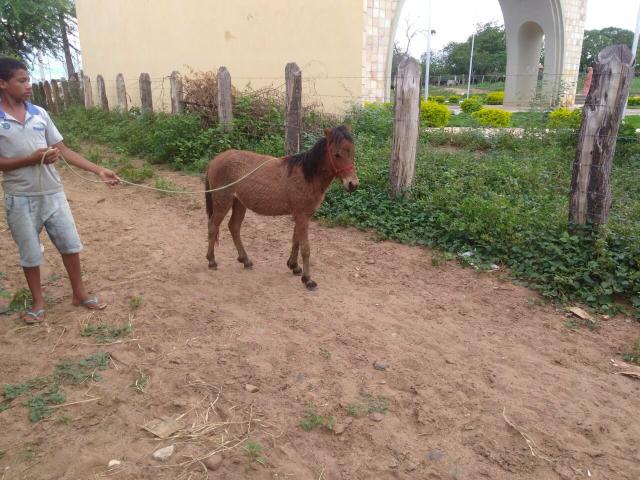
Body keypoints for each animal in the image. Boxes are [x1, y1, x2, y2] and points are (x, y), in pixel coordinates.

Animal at [205, 125, 358, 288]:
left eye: (352, 152)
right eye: (337, 154)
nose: (353, 184)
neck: (307, 175)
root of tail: (215, 160)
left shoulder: (301, 215)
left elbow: (296, 241)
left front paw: (294, 266)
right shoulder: (302, 216)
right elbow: (305, 248)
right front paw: (308, 279)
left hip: (239, 203)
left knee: (234, 227)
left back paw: (245, 260)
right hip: (223, 202)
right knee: (213, 226)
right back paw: (212, 261)